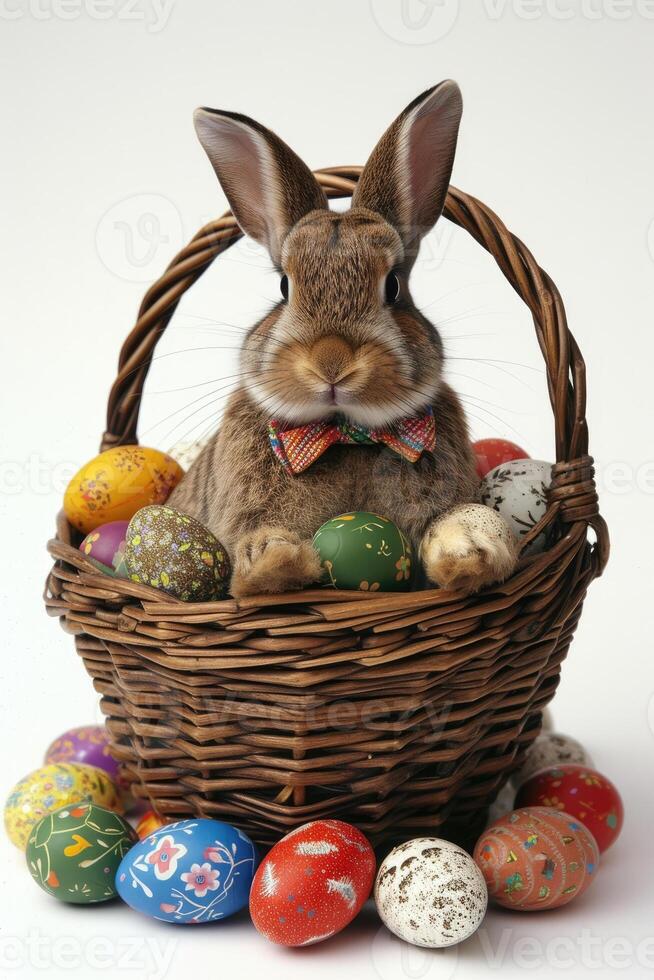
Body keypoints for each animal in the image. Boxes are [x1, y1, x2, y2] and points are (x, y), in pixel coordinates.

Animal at [172, 78, 520, 596]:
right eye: (284, 287)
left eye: (393, 286)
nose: (331, 361)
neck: (345, 433)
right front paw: (274, 561)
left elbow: (452, 523)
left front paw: (471, 555)